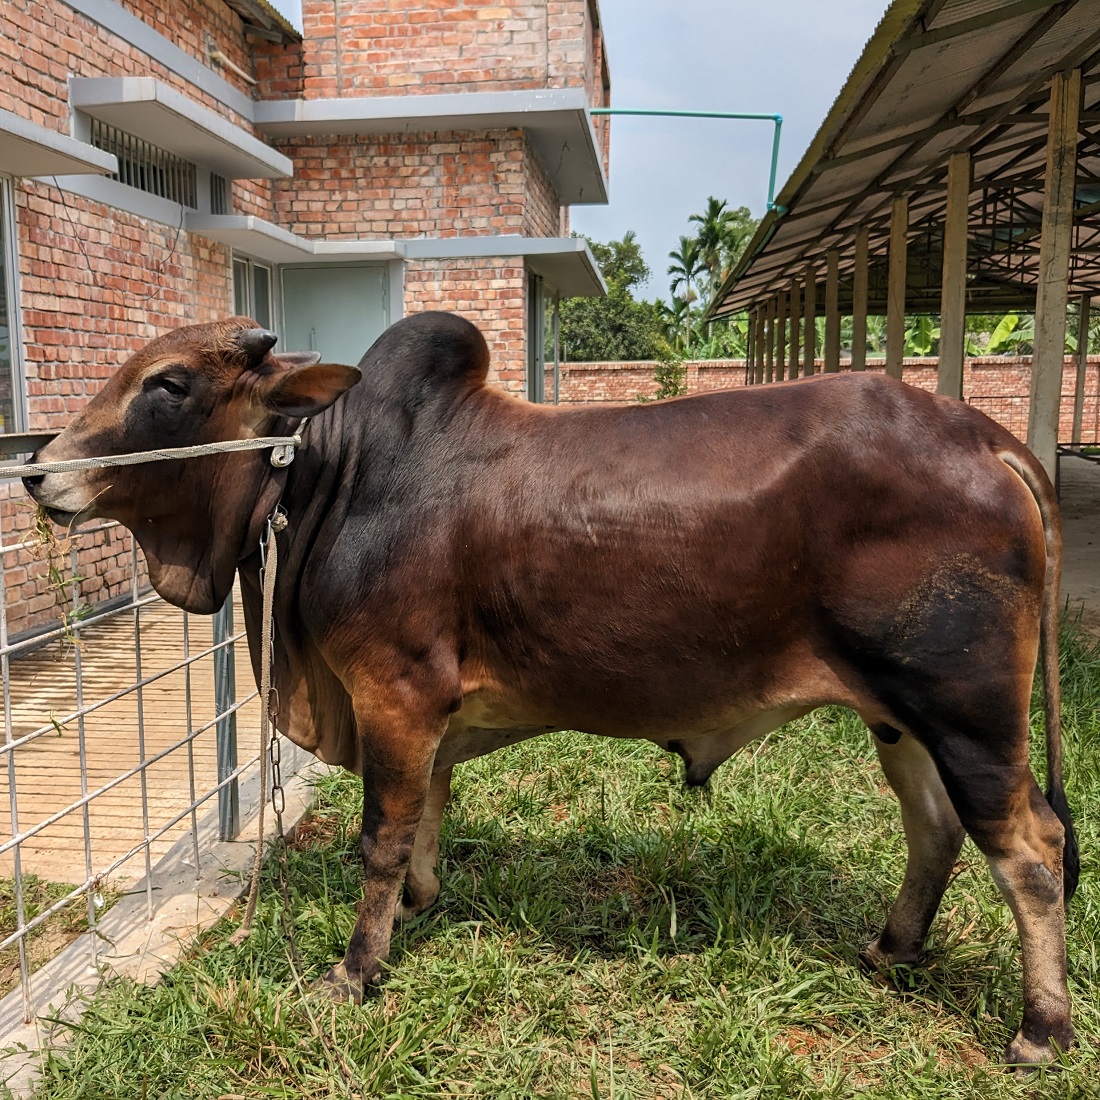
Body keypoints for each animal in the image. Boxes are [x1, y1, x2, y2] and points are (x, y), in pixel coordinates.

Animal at [23, 312, 1073, 1064]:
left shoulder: (394, 692)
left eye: (169, 384)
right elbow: (426, 818)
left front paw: (355, 972)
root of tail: (982, 436)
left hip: (970, 713)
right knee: (937, 830)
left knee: (1030, 849)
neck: (337, 477)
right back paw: (893, 948)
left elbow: (379, 839)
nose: (37, 470)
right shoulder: (426, 717)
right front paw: (419, 906)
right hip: (899, 717)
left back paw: (1042, 1030)